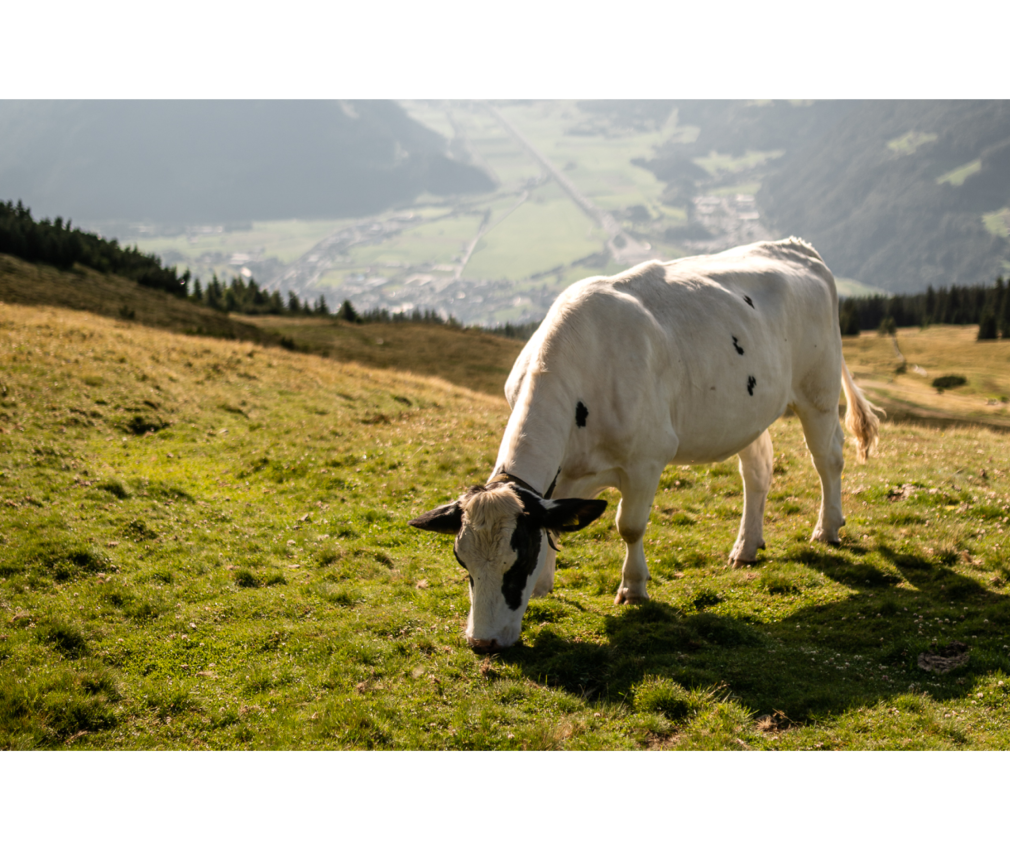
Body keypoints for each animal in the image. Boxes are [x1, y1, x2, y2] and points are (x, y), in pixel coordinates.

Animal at [410, 238, 881, 653]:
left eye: (518, 561)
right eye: (463, 562)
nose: (483, 643)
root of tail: (797, 247)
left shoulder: (646, 460)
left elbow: (629, 527)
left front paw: (633, 589)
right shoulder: (566, 474)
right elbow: (555, 522)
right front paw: (545, 585)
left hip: (818, 392)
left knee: (828, 460)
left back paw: (827, 528)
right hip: (747, 412)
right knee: (758, 471)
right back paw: (746, 547)